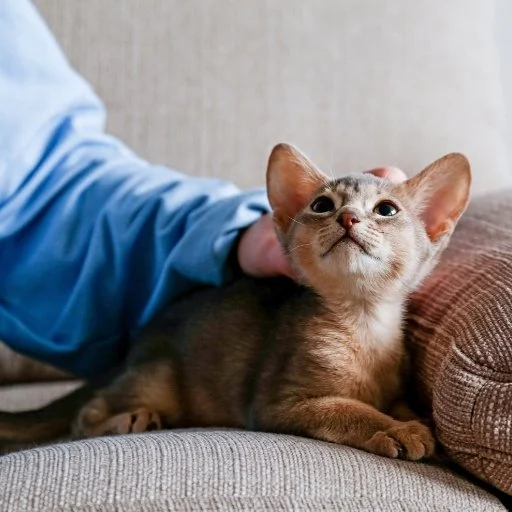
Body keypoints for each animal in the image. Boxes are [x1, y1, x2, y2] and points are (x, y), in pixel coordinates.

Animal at [1, 143, 472, 460]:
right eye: (322, 204)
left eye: (387, 210)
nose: (348, 217)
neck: (363, 324)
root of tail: (135, 350)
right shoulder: (277, 403)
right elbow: (347, 409)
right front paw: (396, 430)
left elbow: (396, 403)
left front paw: (412, 421)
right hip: (158, 378)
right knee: (85, 414)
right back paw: (125, 420)